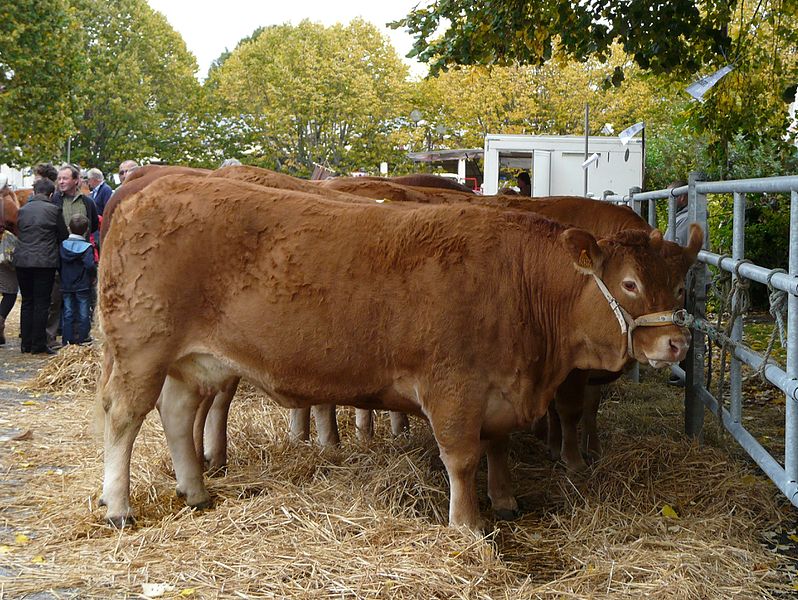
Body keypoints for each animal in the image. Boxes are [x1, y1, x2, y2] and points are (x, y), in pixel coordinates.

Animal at [98, 175, 700, 528]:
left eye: (680, 284)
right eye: (628, 284)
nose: (676, 342)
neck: (523, 283)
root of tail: (150, 188)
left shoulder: (501, 387)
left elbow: (499, 447)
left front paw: (505, 500)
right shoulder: (454, 388)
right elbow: (462, 458)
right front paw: (468, 525)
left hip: (193, 361)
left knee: (177, 414)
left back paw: (195, 490)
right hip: (142, 349)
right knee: (124, 417)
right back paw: (120, 507)